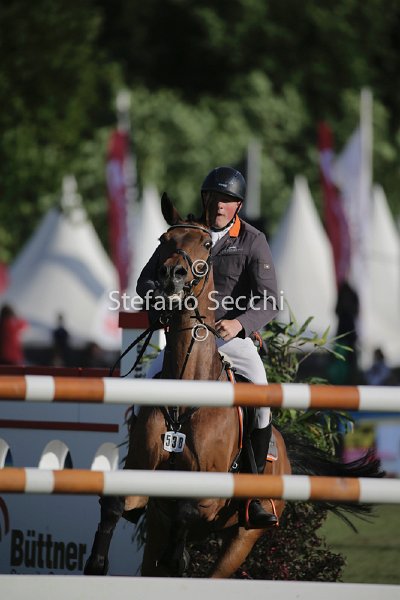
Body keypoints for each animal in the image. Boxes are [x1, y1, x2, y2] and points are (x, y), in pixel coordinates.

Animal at [84, 193, 382, 578]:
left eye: (206, 244)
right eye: (163, 240)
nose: (170, 277)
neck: (185, 397)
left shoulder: (209, 498)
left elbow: (186, 509)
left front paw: (177, 556)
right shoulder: (143, 480)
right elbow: (114, 503)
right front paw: (96, 562)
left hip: (242, 539)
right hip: (159, 529)